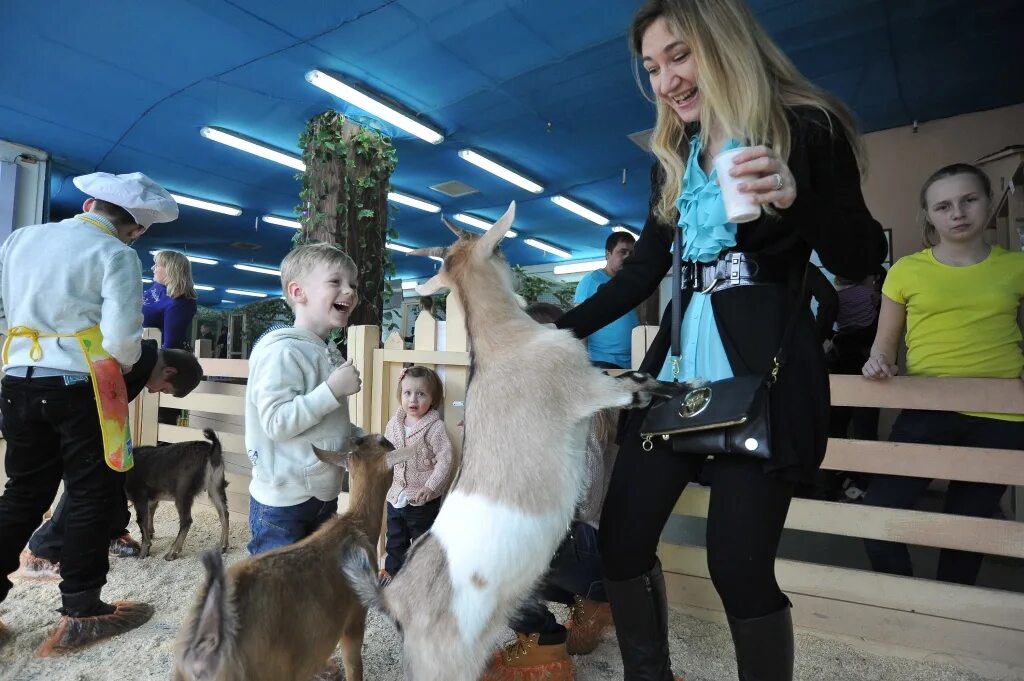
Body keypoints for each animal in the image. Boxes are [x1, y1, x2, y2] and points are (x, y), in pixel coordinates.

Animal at [344, 201, 679, 679]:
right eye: (501, 248)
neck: (504, 342)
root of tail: (392, 599)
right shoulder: (590, 389)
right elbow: (639, 385)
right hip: (445, 664)